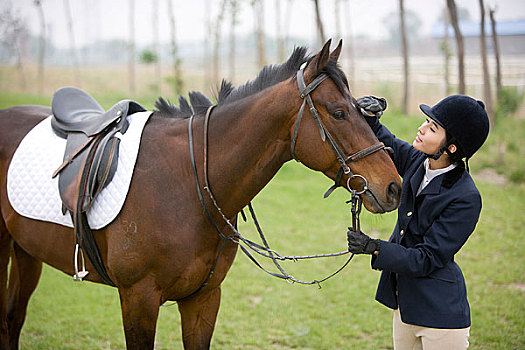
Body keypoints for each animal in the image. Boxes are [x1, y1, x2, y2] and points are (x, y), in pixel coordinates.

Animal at [0, 39, 398, 348]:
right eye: (339, 113)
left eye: (362, 110)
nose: (393, 186)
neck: (187, 186)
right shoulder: (138, 299)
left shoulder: (203, 299)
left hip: (27, 251)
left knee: (13, 317)